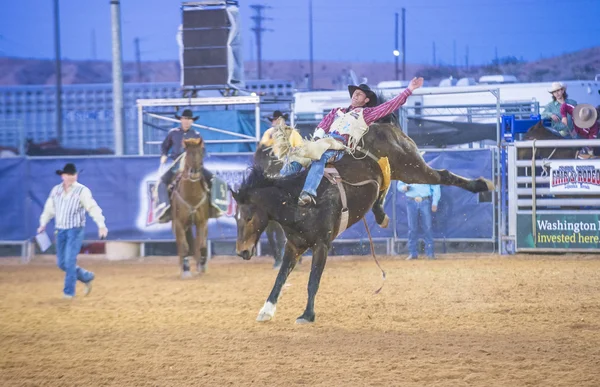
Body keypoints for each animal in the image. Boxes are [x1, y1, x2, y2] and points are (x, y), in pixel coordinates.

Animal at [171, 138, 211, 278]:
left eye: (201, 152)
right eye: (188, 153)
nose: (194, 172)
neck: (192, 197)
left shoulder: (202, 222)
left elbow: (202, 245)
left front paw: (202, 265)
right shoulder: (179, 223)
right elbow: (184, 246)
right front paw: (186, 269)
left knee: (198, 242)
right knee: (181, 245)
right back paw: (182, 266)